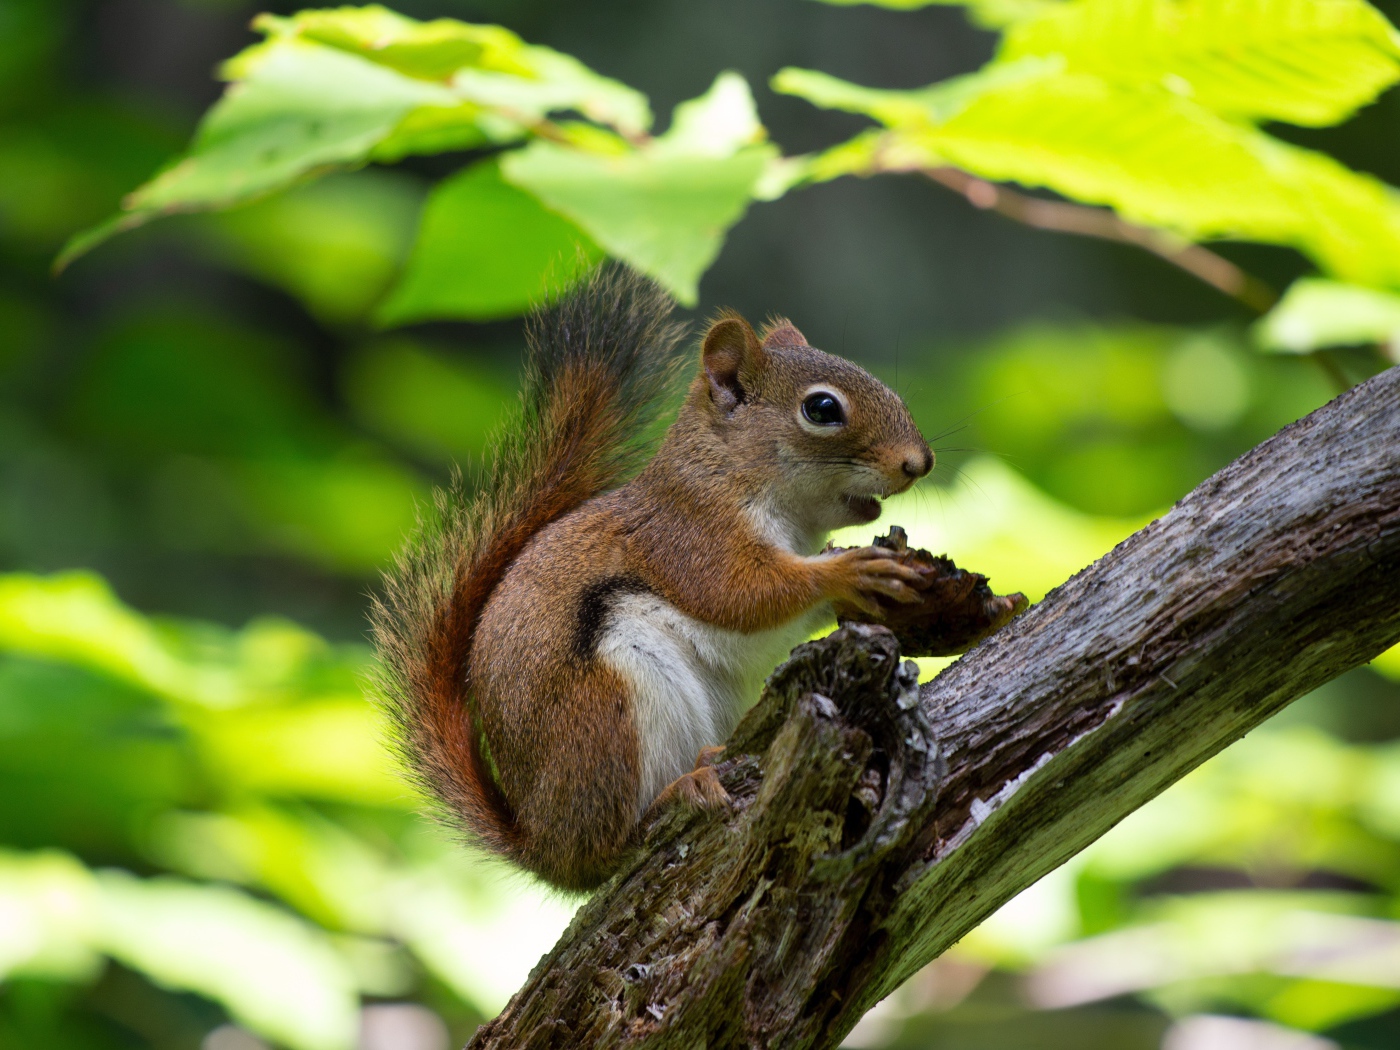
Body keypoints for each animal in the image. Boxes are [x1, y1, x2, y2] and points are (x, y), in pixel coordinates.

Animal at [372, 267, 929, 890]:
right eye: (823, 408)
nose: (919, 462)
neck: (726, 472)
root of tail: (545, 848)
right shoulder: (689, 537)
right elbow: (742, 594)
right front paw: (848, 569)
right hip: (609, 711)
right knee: (613, 843)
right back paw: (679, 791)